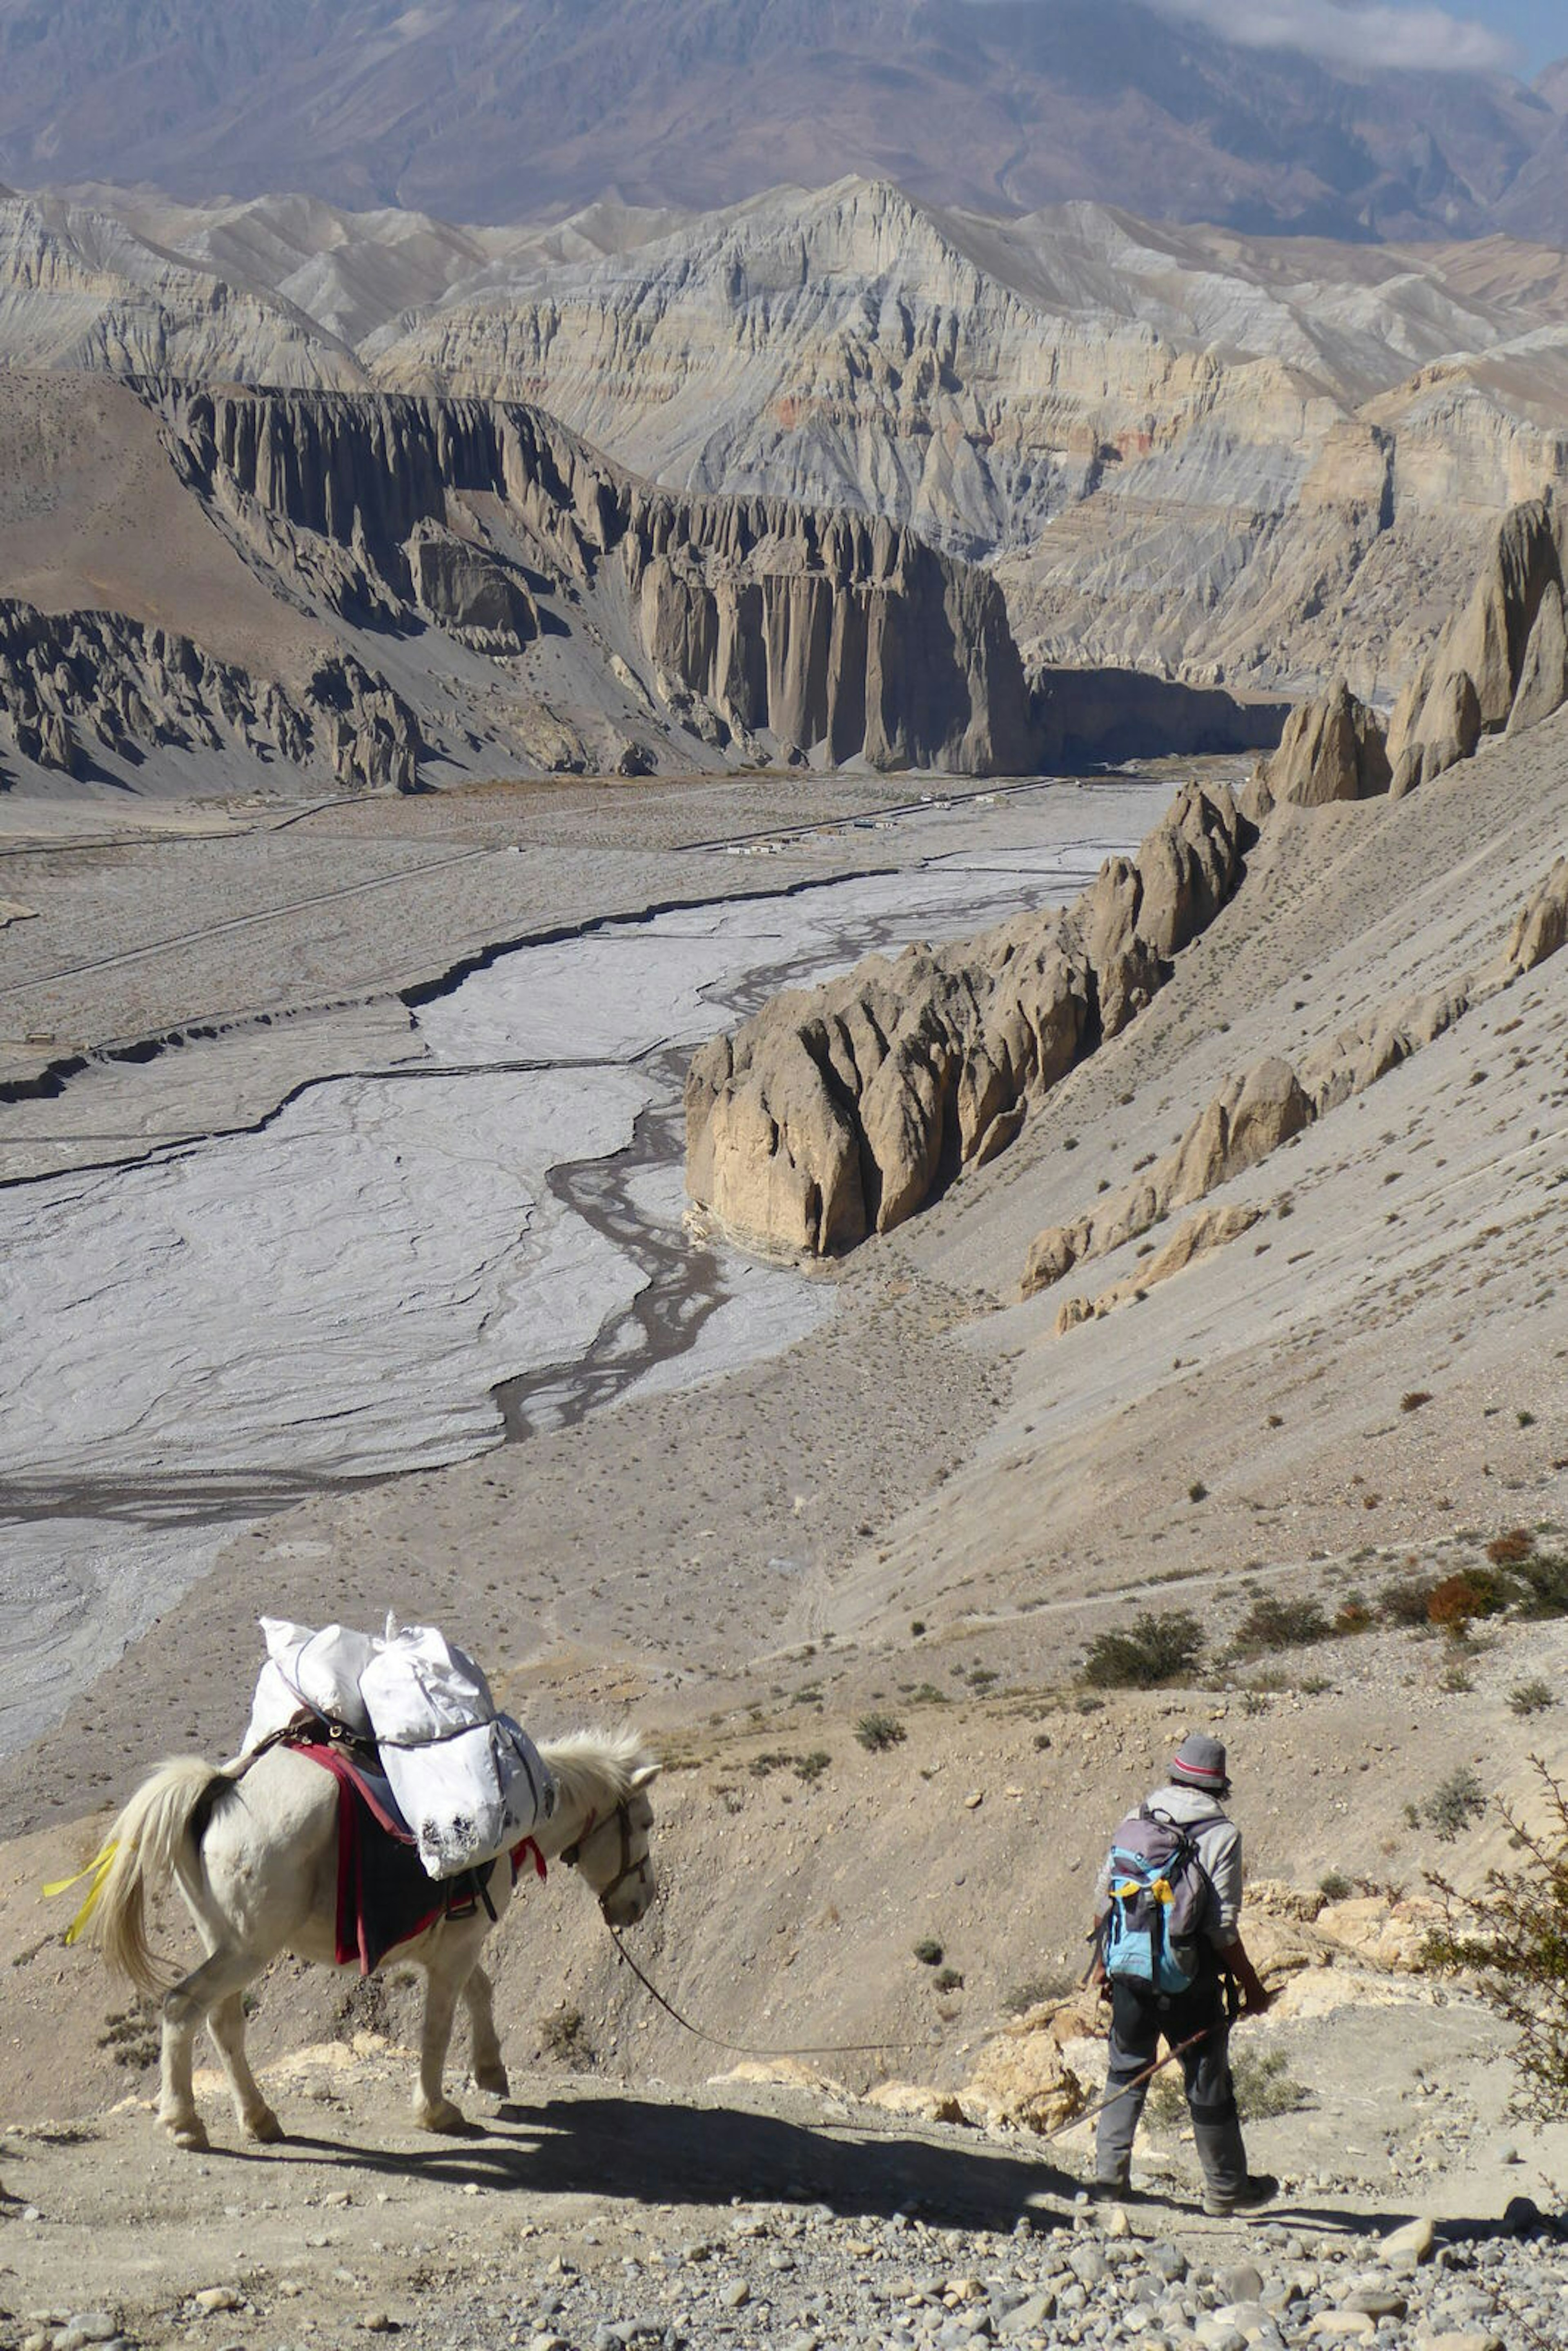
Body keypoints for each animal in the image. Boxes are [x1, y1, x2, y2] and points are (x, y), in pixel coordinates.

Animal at [81, 1730, 658, 2153]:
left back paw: (260, 2118)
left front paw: (491, 2071)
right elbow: (438, 2025)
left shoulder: (454, 1939)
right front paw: (437, 2110)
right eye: (647, 1822)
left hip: (223, 1942)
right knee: (182, 2006)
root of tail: (221, 1787)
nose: (643, 1902)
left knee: (222, 2023)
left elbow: (481, 1991)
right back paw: (184, 2123)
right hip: (247, 1949)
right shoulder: (457, 1946)